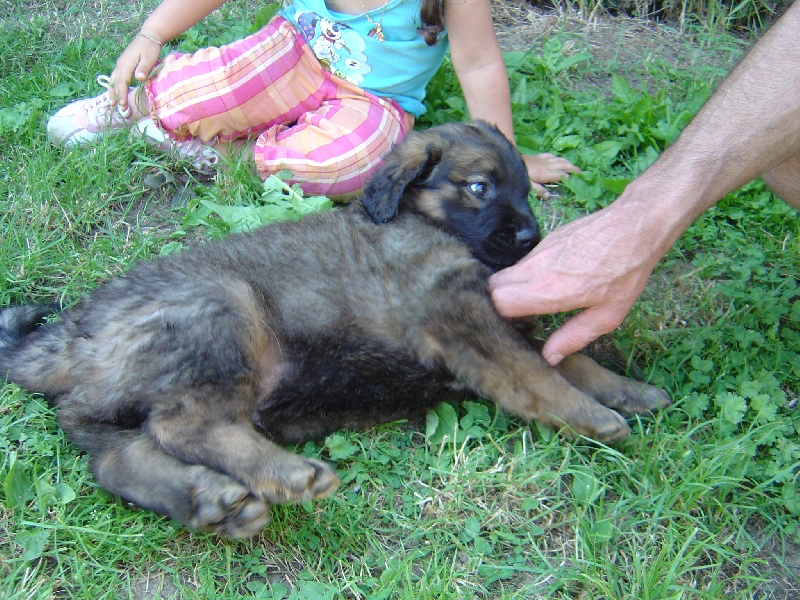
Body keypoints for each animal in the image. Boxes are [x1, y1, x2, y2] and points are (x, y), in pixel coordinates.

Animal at [0, 119, 668, 536]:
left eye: (526, 190)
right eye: (480, 188)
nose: (531, 238)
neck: (420, 220)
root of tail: (71, 333)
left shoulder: (486, 313)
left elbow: (562, 354)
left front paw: (625, 389)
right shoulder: (459, 314)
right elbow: (534, 370)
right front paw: (592, 415)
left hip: (108, 408)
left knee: (117, 459)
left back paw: (208, 500)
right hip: (221, 310)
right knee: (184, 423)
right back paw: (285, 475)